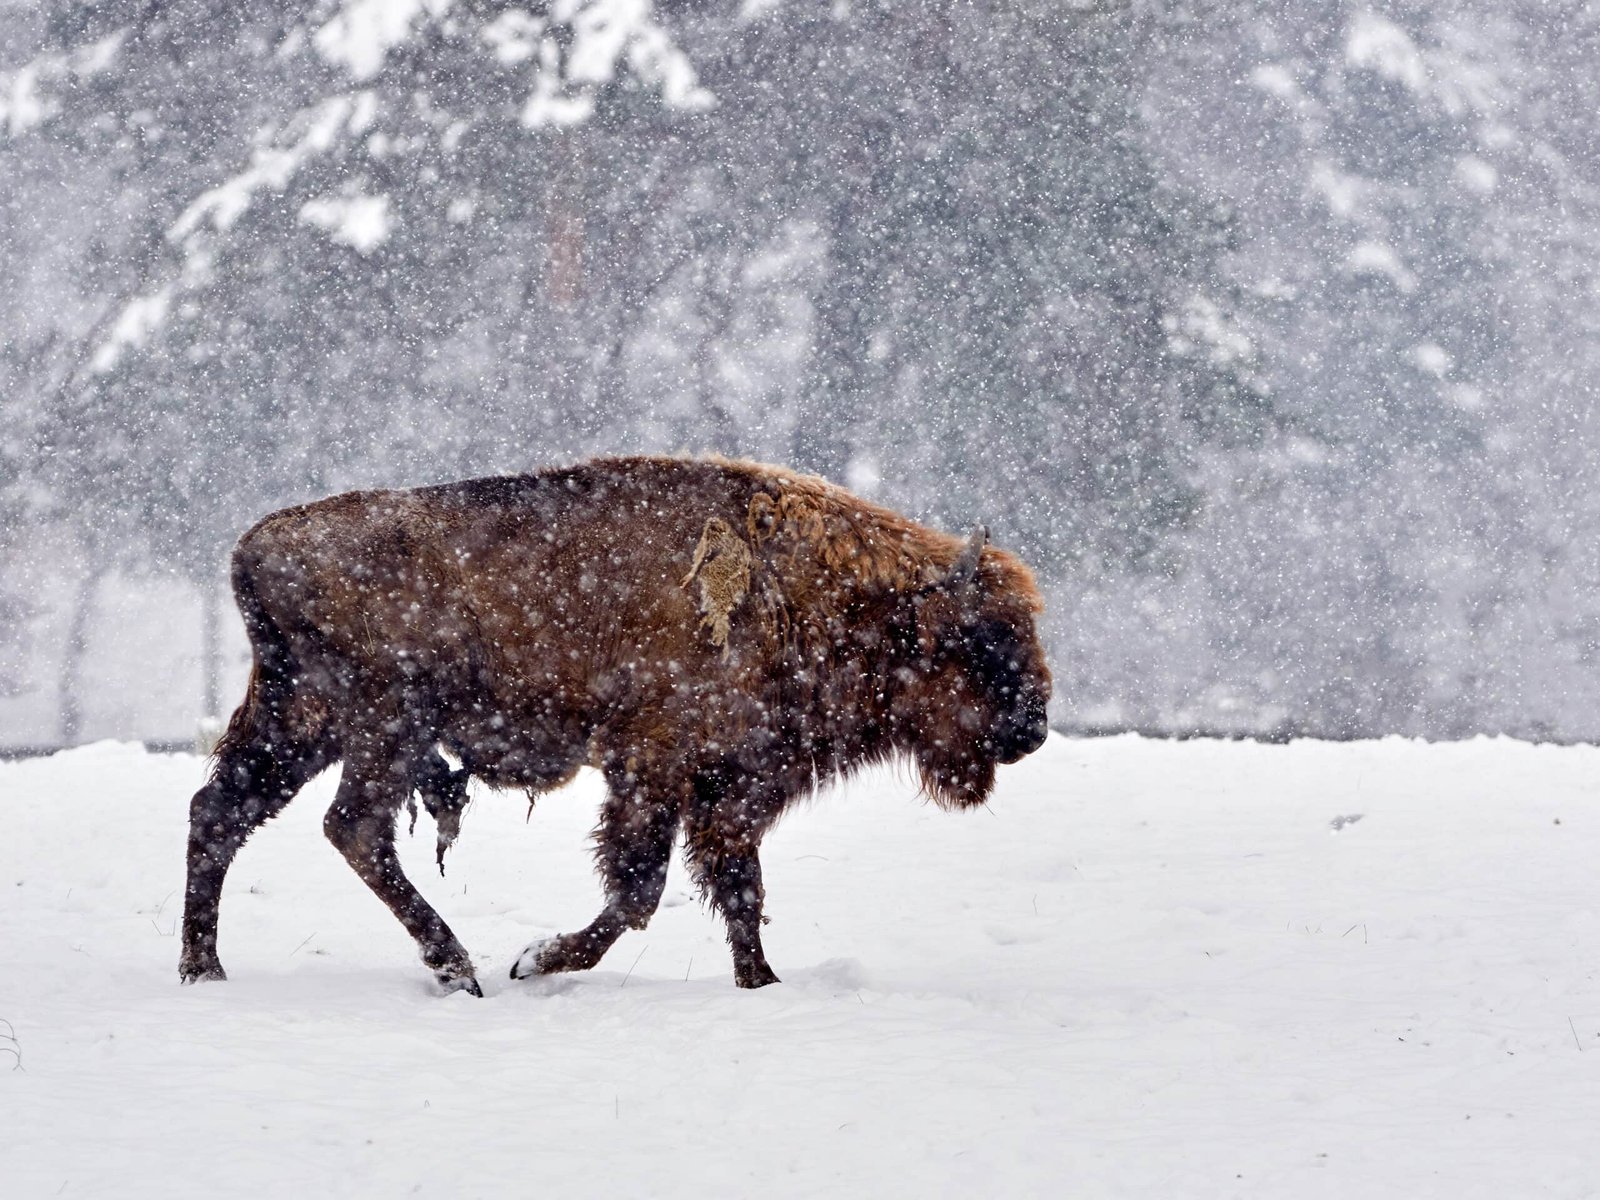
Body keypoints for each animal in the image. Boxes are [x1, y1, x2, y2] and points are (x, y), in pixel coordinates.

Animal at [180, 456, 1052, 994]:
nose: (1033, 729)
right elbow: (639, 892)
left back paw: (205, 971)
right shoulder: (654, 769)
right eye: (980, 638)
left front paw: (763, 984)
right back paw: (459, 968)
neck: (804, 587)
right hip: (385, 726)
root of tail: (252, 549)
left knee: (220, 813)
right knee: (351, 826)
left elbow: (738, 891)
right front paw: (535, 962)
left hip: (302, 723)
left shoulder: (729, 790)